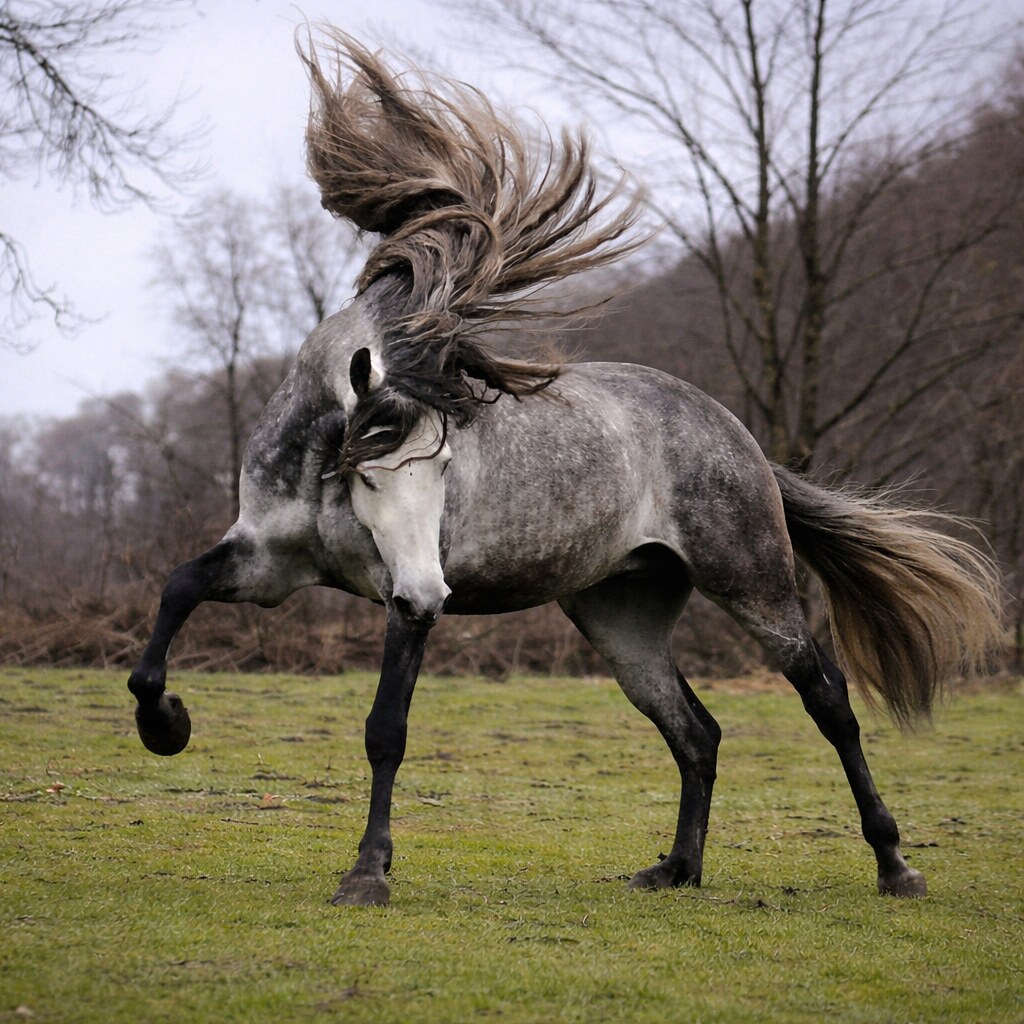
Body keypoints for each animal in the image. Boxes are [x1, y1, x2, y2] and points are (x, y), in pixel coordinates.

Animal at [127, 32, 1004, 908]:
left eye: (444, 467)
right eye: (369, 474)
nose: (429, 592)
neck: (322, 479)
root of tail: (737, 436)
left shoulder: (398, 603)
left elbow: (386, 731)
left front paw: (368, 872)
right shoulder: (268, 564)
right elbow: (177, 588)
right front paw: (165, 722)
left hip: (755, 586)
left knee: (828, 701)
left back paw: (894, 864)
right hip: (620, 616)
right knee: (696, 732)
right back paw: (676, 869)